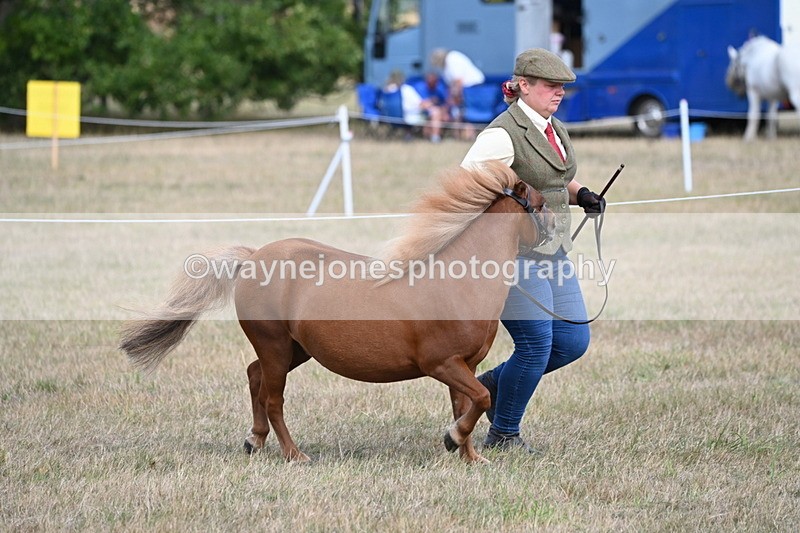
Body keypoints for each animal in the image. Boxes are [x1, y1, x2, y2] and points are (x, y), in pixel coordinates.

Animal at [119, 161, 554, 464]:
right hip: (274, 345)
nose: (556, 232)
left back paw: (253, 440)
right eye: (540, 204)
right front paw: (453, 439)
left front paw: (469, 456)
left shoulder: (464, 364)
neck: (457, 283)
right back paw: (294, 455)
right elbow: (480, 397)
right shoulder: (442, 363)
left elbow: (467, 404)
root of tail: (253, 257)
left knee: (254, 377)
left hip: (293, 350)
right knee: (273, 399)